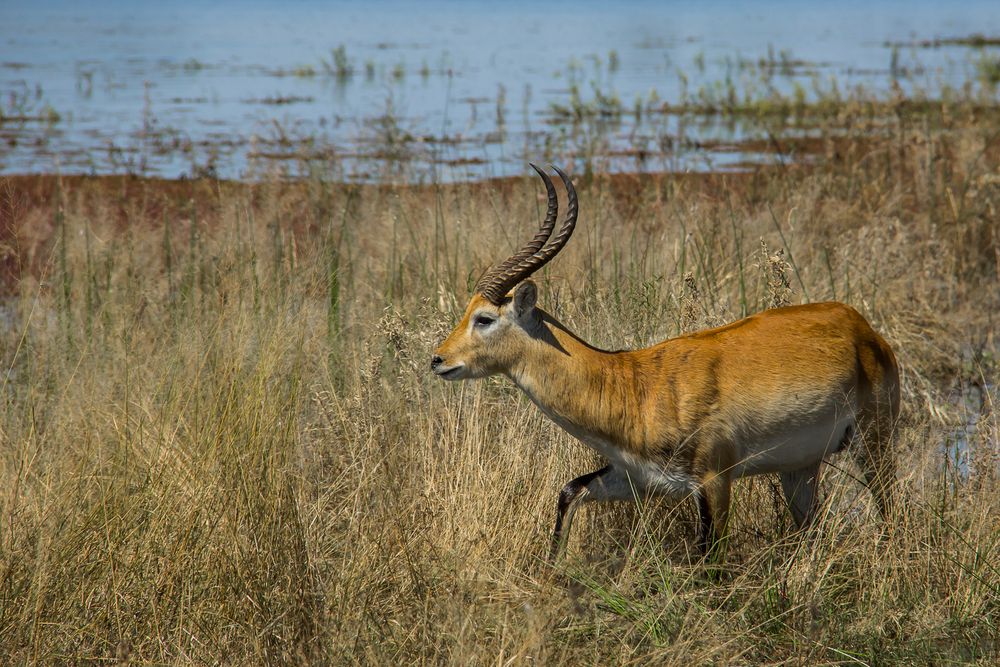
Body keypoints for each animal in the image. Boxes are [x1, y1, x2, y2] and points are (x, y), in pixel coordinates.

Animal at [430, 164, 900, 560]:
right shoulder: (633, 477)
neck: (631, 384)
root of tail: (861, 327)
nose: (438, 360)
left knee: (891, 509)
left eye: (484, 318)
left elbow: (711, 560)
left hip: (873, 442)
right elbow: (568, 492)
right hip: (800, 466)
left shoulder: (714, 479)